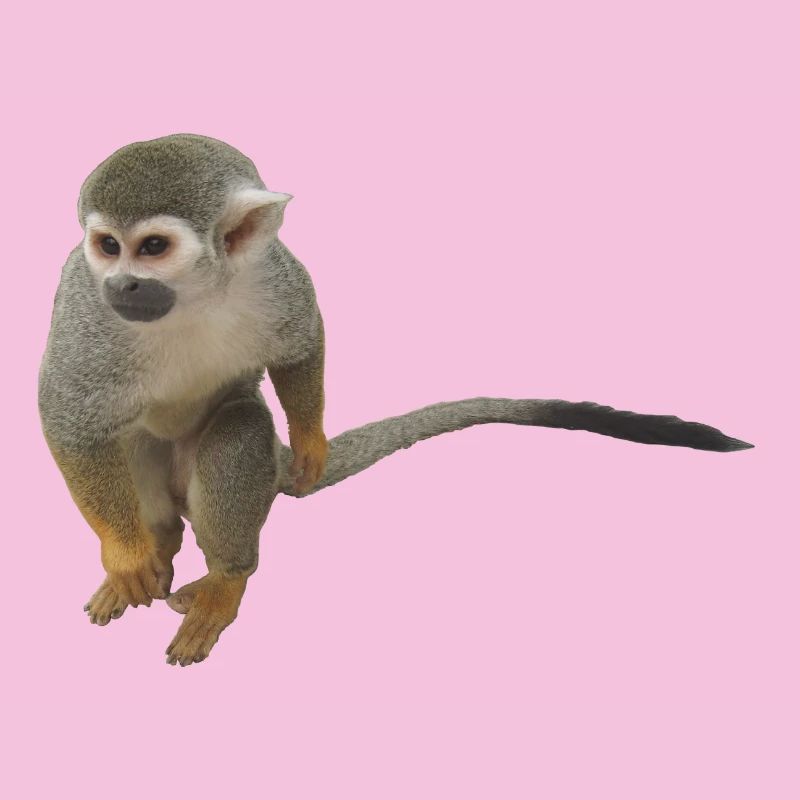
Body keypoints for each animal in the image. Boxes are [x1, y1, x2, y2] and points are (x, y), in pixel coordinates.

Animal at [38, 134, 753, 667]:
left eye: (153, 247)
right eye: (107, 246)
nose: (124, 285)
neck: (194, 297)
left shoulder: (273, 275)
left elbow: (303, 343)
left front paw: (312, 441)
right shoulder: (86, 307)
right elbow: (67, 418)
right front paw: (126, 555)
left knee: (239, 428)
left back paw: (227, 578)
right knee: (130, 443)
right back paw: (152, 547)